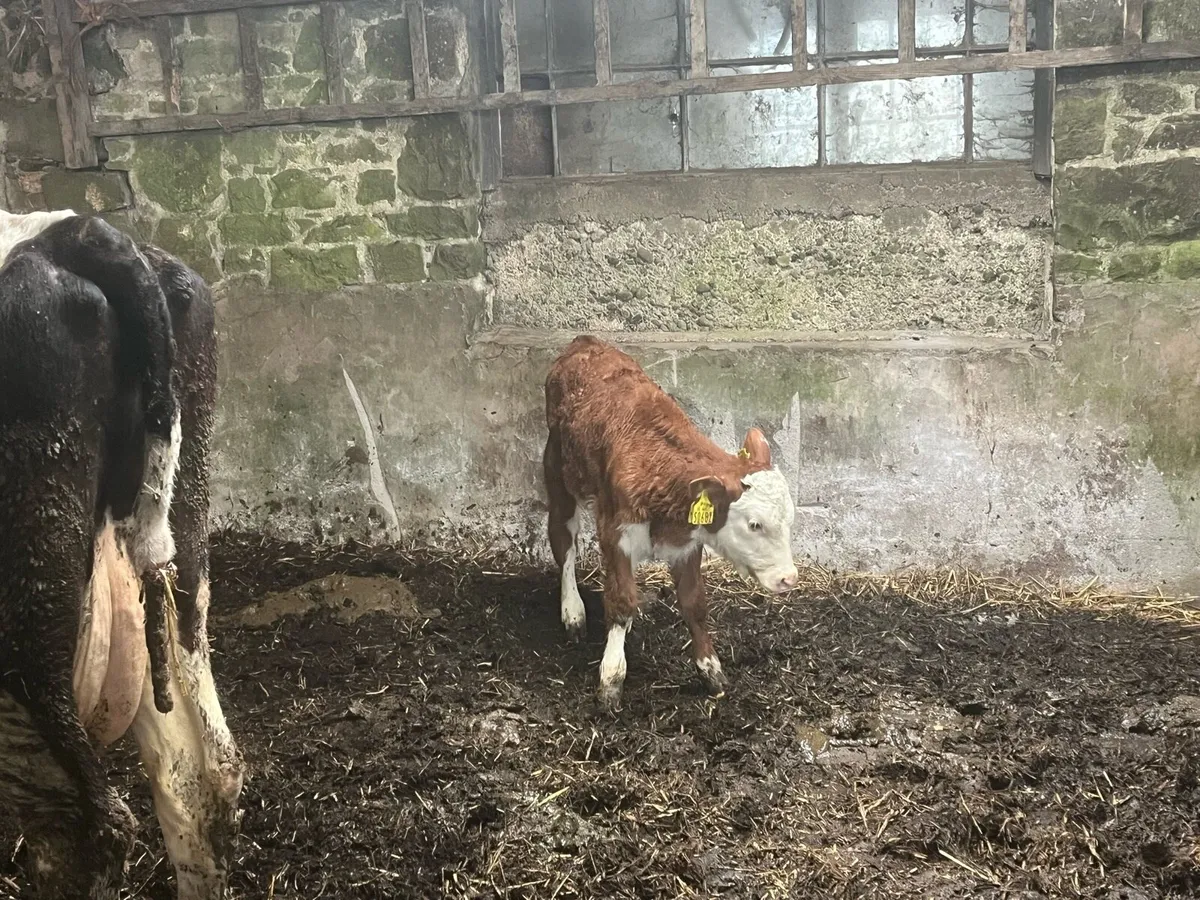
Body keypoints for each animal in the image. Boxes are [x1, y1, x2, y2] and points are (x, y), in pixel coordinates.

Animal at [543, 335, 799, 711]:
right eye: (754, 525)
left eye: (790, 520)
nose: (788, 578)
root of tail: (585, 342)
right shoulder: (615, 534)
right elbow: (620, 601)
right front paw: (611, 680)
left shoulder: (687, 544)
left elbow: (694, 604)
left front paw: (711, 671)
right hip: (558, 474)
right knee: (564, 543)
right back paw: (572, 610)